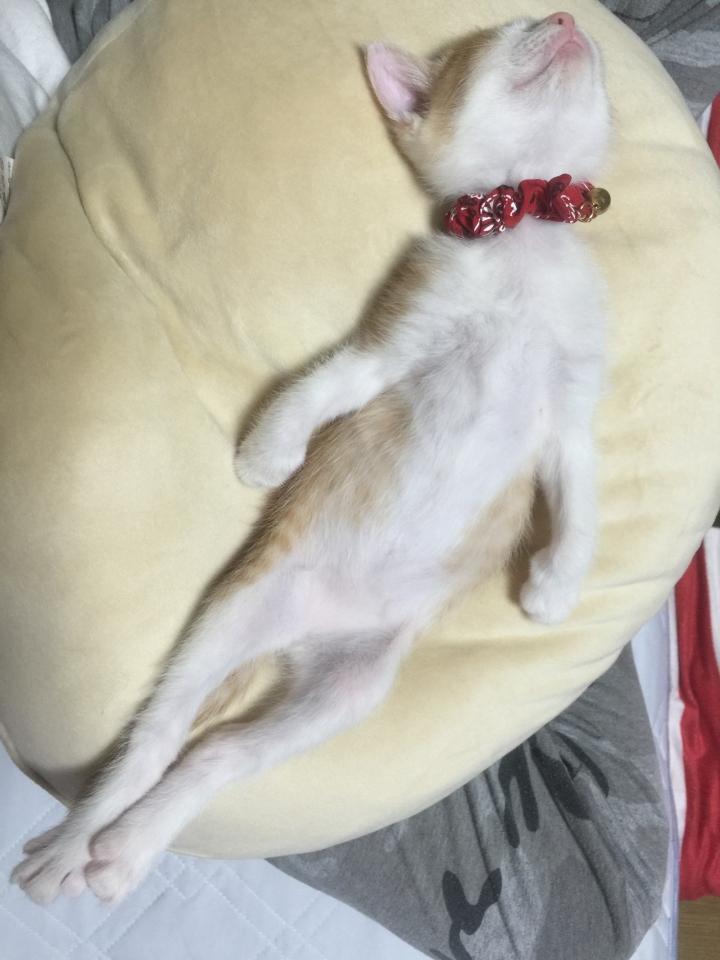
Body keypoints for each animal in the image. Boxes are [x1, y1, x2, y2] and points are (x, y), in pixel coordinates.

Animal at [13, 11, 610, 905]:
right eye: (514, 30)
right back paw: (73, 848)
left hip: (349, 688)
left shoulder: (571, 404)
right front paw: (267, 454)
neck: (525, 245)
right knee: (151, 745)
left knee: (216, 752)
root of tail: (305, 633)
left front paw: (554, 586)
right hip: (236, 611)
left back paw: (125, 852)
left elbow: (579, 496)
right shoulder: (396, 340)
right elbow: (322, 385)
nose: (568, 20)